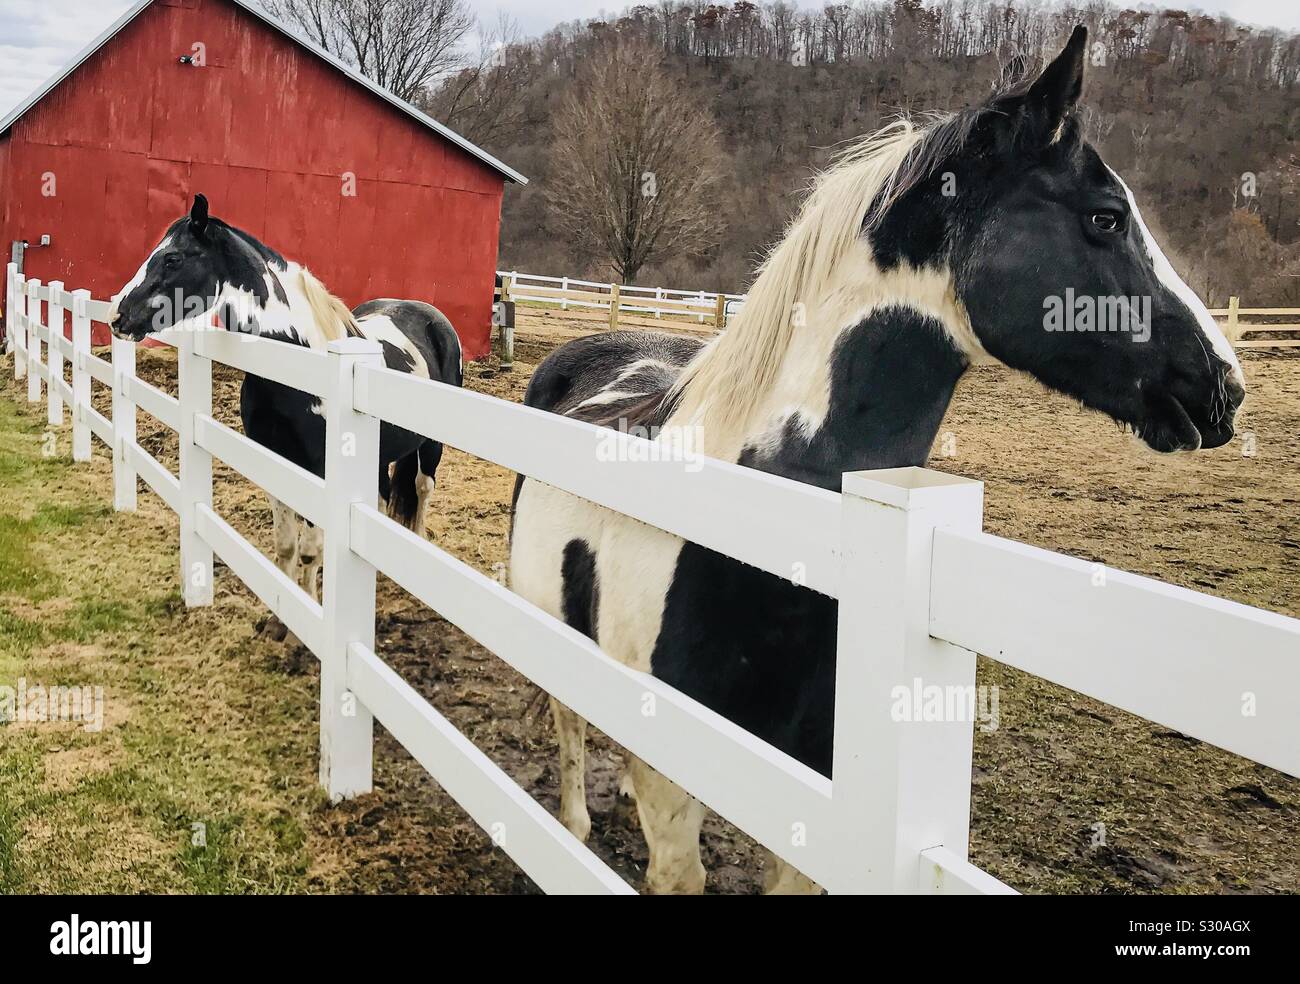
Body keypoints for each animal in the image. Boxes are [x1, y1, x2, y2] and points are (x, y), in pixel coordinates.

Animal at [106, 196, 462, 610]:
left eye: (173, 258)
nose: (117, 315)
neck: (297, 363)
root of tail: (429, 315)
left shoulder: (318, 469)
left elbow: (310, 549)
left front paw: (306, 606)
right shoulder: (275, 459)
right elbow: (287, 545)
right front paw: (284, 608)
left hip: (430, 446)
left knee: (421, 490)